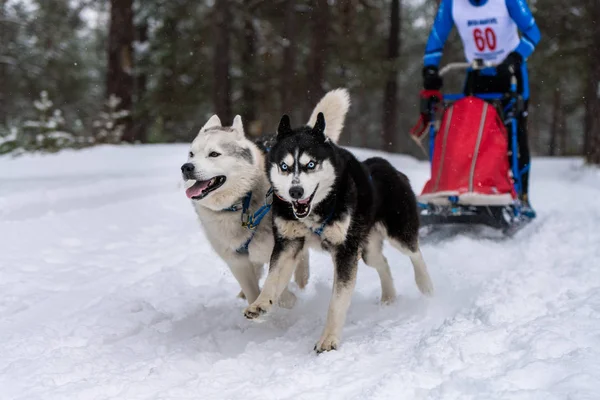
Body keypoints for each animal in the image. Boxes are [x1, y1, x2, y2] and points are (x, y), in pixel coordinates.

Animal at [183, 90, 352, 306]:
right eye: (191, 154)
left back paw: (301, 280)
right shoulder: (237, 262)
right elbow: (253, 291)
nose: (186, 168)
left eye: (214, 154)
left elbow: (279, 281)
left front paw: (286, 301)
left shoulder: (279, 247)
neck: (241, 203)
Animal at [244, 111, 436, 352]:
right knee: (382, 262)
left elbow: (337, 302)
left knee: (415, 253)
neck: (318, 209)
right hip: (366, 249)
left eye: (311, 164)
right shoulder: (289, 242)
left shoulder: (345, 251)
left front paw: (329, 339)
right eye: (284, 167)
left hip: (398, 233)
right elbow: (273, 277)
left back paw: (426, 286)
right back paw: (389, 296)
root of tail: (389, 167)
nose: (295, 191)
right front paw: (261, 303)